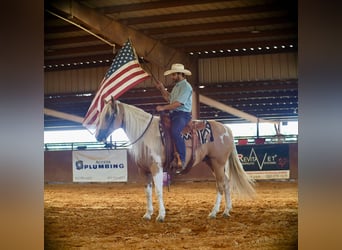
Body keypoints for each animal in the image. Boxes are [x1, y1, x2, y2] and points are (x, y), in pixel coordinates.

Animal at [95, 97, 255, 223]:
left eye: (108, 115)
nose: (98, 136)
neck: (147, 135)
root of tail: (226, 129)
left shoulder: (156, 168)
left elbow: (158, 191)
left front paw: (161, 215)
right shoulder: (144, 171)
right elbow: (148, 192)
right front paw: (148, 214)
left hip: (218, 162)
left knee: (221, 185)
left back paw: (214, 212)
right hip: (212, 162)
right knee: (226, 183)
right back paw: (227, 211)